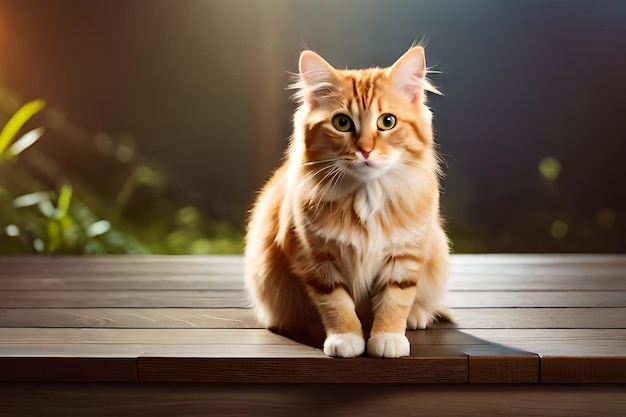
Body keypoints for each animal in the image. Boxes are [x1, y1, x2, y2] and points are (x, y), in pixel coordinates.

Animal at [241, 46, 450, 358]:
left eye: (387, 122)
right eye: (342, 123)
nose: (366, 150)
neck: (367, 197)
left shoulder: (405, 255)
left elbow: (395, 301)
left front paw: (388, 337)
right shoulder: (316, 258)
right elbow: (336, 305)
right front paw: (346, 338)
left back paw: (417, 316)